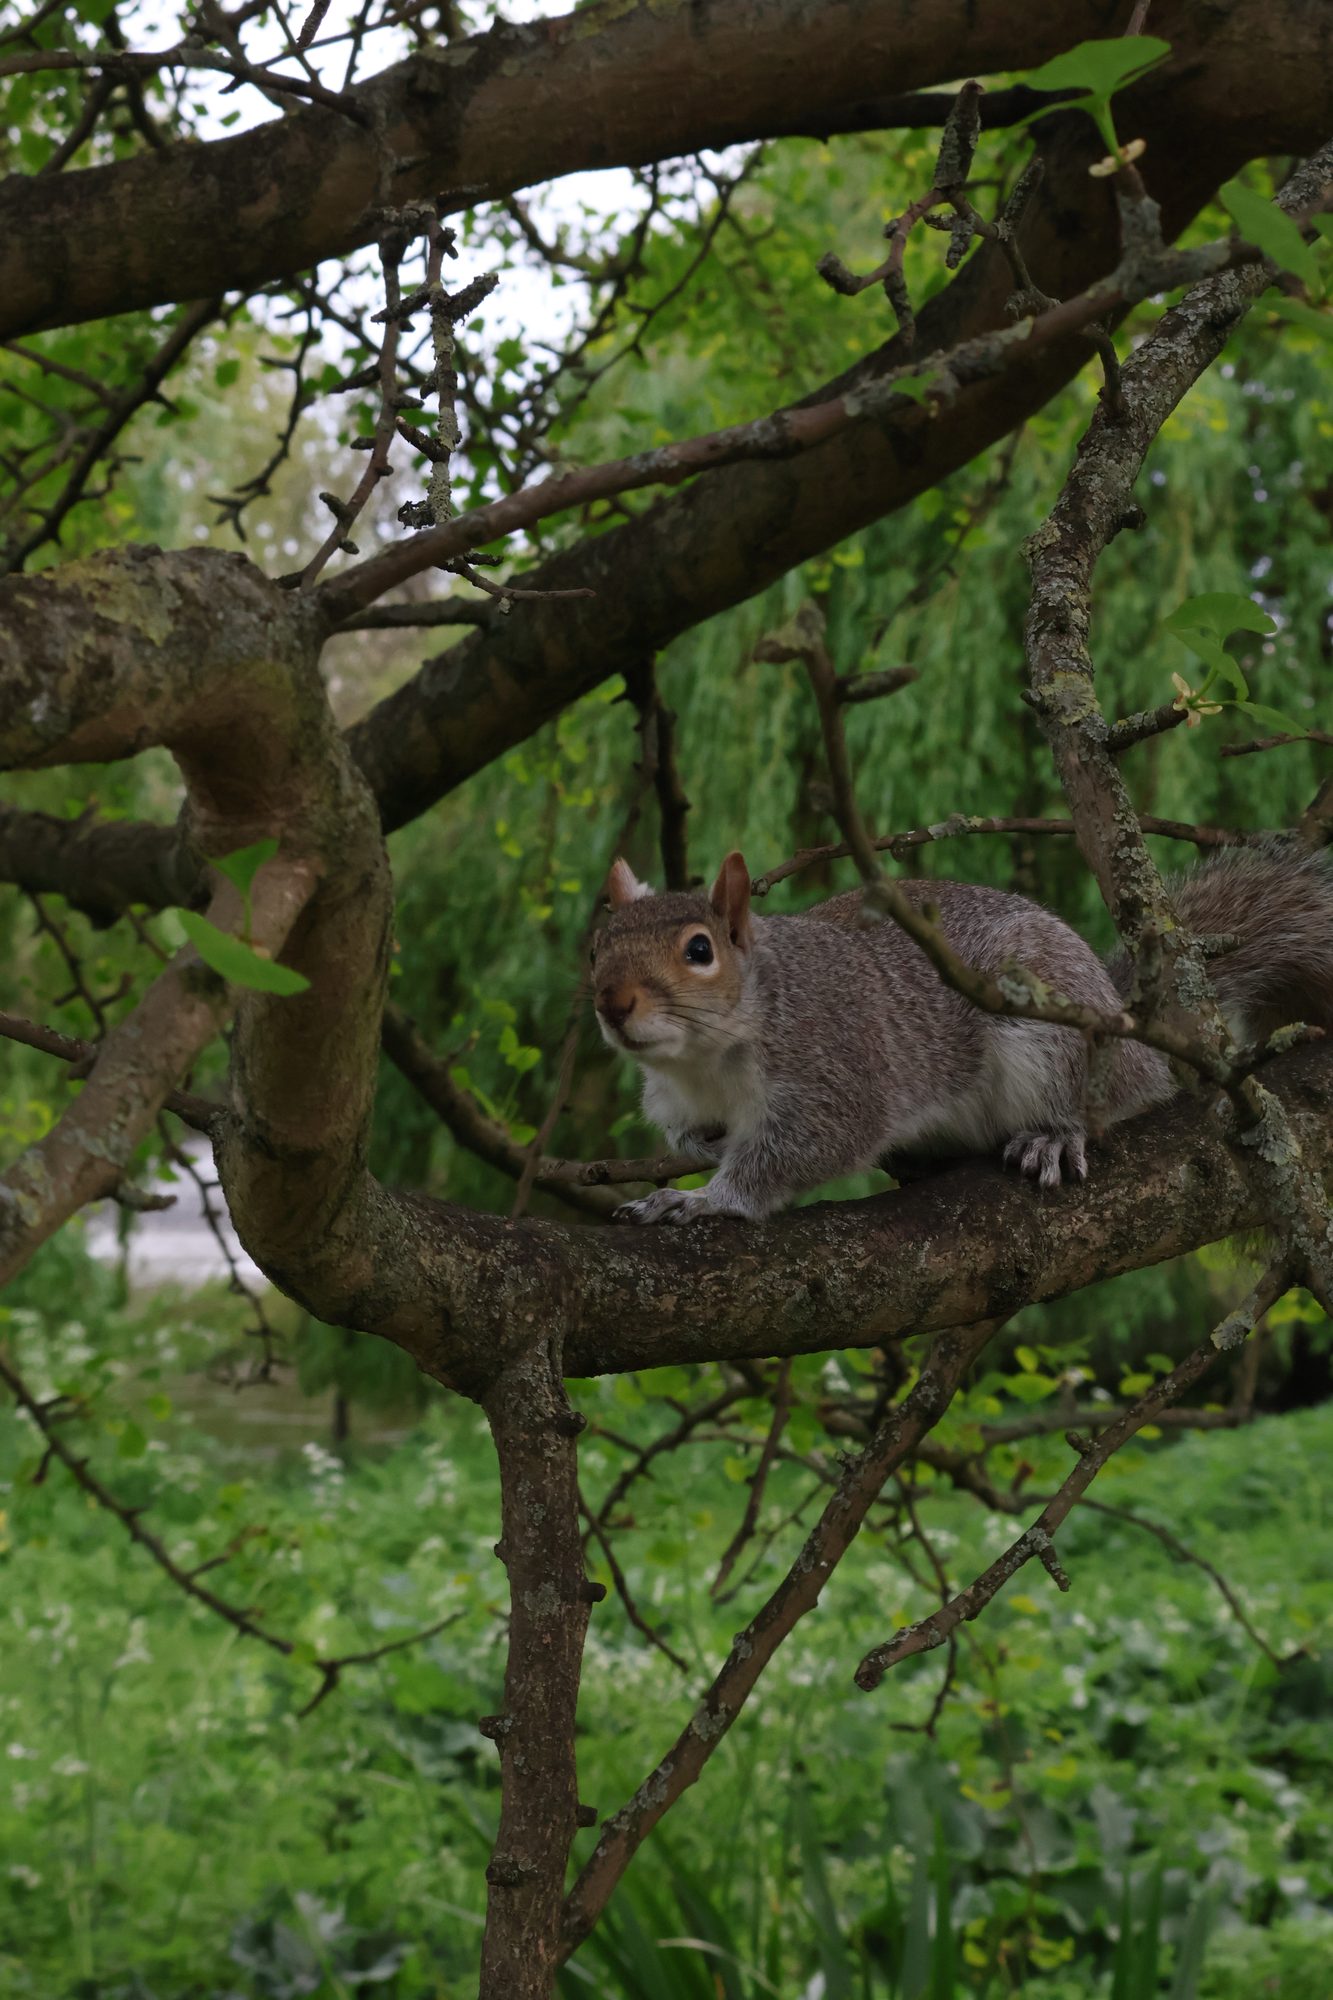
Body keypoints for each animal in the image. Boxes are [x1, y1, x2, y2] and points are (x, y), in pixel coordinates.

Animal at [590, 845, 1333, 1226]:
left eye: (699, 950)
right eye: (596, 945)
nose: (611, 1003)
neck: (703, 1060)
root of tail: (1132, 1033)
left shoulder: (833, 1067)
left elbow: (803, 1149)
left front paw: (702, 1199)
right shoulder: (673, 1099)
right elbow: (689, 1134)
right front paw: (703, 1151)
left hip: (1054, 1038)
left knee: (1089, 1105)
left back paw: (1051, 1135)